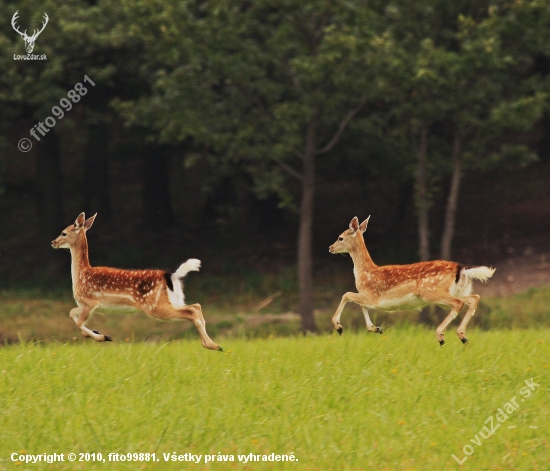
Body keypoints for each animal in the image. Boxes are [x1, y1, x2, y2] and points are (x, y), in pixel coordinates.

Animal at [50, 213, 223, 350]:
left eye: (63, 233)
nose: (53, 242)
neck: (81, 274)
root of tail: (171, 276)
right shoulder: (85, 305)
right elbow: (72, 313)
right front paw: (97, 333)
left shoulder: (91, 302)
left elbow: (78, 322)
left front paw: (103, 337)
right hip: (174, 300)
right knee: (196, 306)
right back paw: (213, 344)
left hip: (154, 306)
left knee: (192, 311)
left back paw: (212, 345)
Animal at [330, 218, 498, 346]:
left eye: (340, 237)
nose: (330, 247)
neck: (364, 272)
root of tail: (460, 268)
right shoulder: (368, 298)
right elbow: (360, 304)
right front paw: (376, 328)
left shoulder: (372, 297)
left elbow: (347, 294)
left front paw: (338, 326)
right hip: (456, 291)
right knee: (474, 298)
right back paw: (462, 336)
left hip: (431, 292)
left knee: (459, 303)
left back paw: (441, 335)